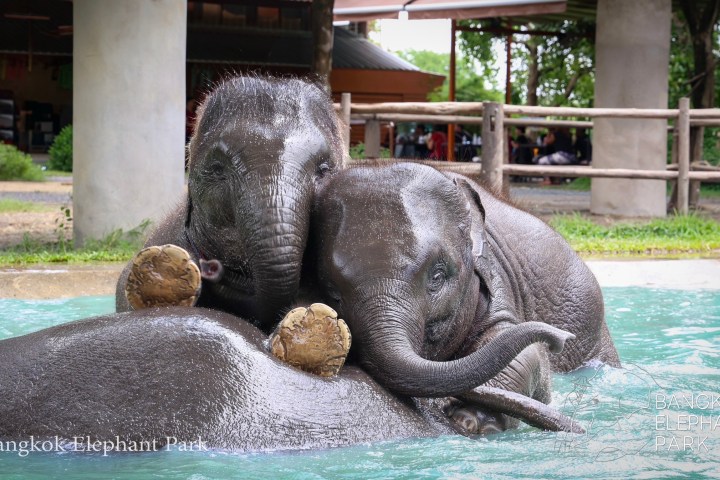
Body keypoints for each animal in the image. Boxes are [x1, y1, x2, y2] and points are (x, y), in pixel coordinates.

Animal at [310, 162, 620, 431]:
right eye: (332, 292)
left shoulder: (493, 277)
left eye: (437, 276)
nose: (560, 339)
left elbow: (522, 347)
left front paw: (468, 422)